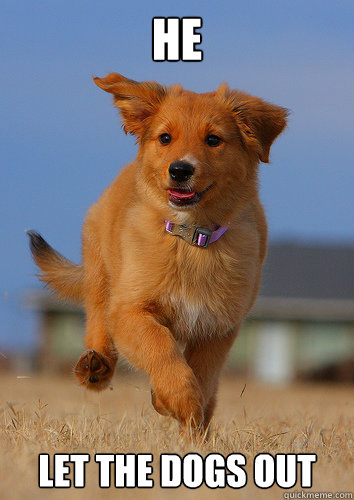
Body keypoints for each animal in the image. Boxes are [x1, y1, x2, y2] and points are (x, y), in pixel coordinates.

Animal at [27, 72, 288, 432]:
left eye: (213, 140)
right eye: (165, 138)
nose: (180, 170)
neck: (191, 239)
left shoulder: (219, 327)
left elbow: (203, 375)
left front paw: (183, 411)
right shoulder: (131, 310)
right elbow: (160, 347)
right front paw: (178, 398)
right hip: (101, 272)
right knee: (97, 317)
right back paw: (95, 366)